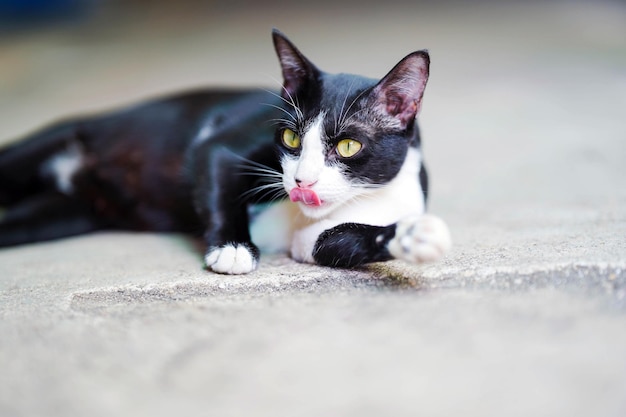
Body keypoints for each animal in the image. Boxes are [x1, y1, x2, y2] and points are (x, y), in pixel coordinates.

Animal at [0, 30, 448, 274]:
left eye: (348, 145)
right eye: (290, 138)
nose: (301, 181)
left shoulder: (320, 236)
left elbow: (334, 242)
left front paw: (411, 237)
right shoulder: (224, 143)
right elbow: (219, 172)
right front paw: (232, 247)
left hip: (68, 212)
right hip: (57, 139)